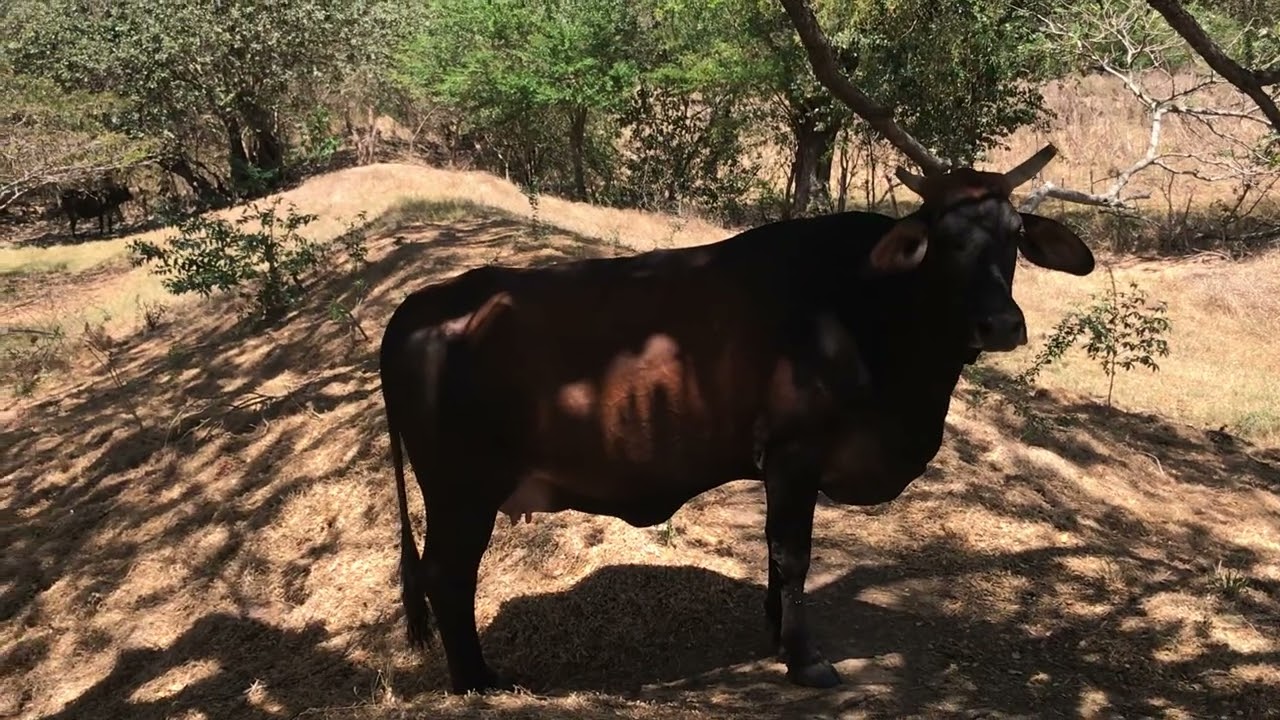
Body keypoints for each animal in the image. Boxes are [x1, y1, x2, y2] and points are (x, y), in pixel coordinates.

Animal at [376, 143, 1096, 695]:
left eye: (1014, 237)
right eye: (944, 241)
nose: (1001, 324)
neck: (865, 308)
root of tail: (422, 303)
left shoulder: (782, 466)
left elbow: (777, 556)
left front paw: (778, 632)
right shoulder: (795, 452)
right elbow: (793, 553)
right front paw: (805, 660)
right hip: (460, 491)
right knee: (447, 577)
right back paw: (476, 681)